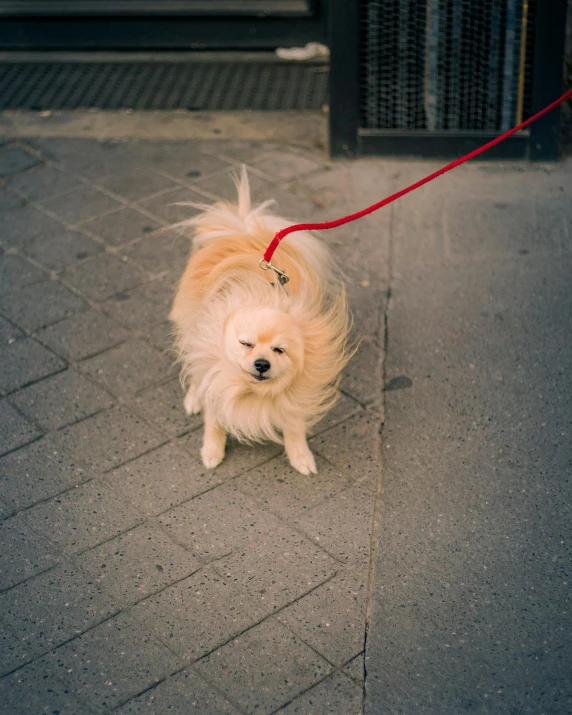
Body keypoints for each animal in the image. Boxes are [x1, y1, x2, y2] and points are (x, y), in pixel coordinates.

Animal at [168, 169, 350, 476]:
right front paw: (212, 450)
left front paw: (300, 456)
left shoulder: (295, 394)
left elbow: (293, 425)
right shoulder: (217, 377)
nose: (262, 364)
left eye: (280, 350)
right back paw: (194, 397)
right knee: (193, 366)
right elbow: (214, 418)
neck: (252, 391)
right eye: (246, 344)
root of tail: (244, 229)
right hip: (192, 327)